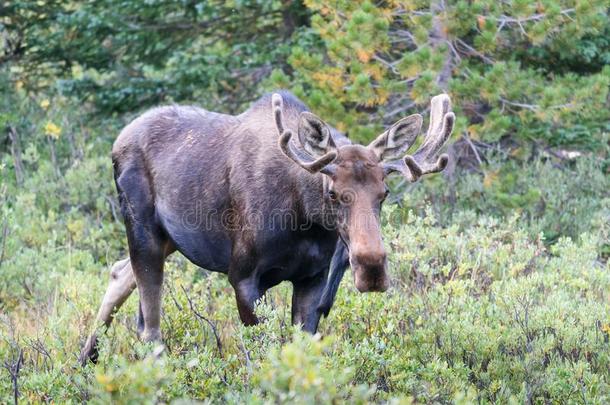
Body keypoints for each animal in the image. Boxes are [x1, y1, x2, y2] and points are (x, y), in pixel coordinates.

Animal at [79, 90, 452, 362]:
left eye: (383, 193)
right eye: (333, 193)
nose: (371, 267)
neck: (304, 219)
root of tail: (117, 141)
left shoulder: (313, 278)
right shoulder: (242, 275)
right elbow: (260, 354)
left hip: (169, 237)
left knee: (120, 274)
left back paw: (86, 359)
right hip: (142, 226)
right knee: (150, 325)